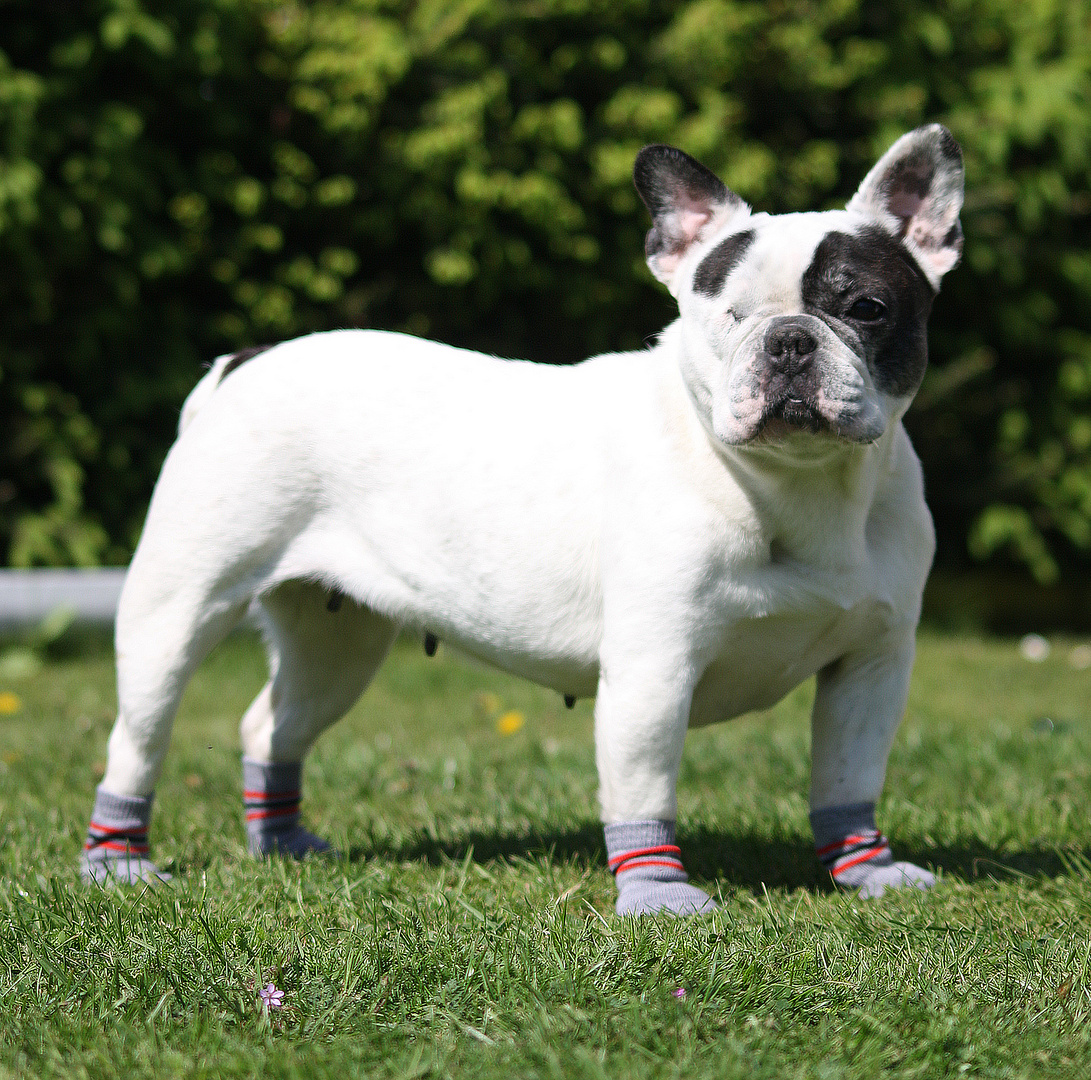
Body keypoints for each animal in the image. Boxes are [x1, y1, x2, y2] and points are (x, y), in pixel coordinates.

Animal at [82, 122, 964, 912]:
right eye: (727, 317)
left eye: (867, 308)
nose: (788, 341)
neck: (796, 484)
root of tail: (245, 361)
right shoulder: (653, 670)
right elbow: (643, 786)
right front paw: (657, 894)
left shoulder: (872, 666)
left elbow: (849, 776)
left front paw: (867, 871)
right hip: (178, 610)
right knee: (138, 735)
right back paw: (118, 863)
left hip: (336, 642)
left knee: (273, 725)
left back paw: (284, 844)